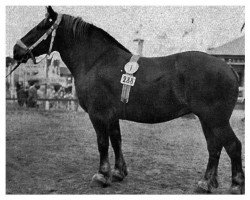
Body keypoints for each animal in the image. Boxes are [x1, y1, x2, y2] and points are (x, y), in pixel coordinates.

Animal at [13, 6, 244, 194]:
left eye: (40, 26)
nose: (16, 50)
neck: (96, 61)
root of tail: (230, 69)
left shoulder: (98, 115)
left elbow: (102, 143)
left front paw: (101, 175)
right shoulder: (112, 115)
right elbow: (116, 140)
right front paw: (118, 172)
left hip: (216, 120)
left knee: (233, 145)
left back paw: (235, 184)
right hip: (207, 120)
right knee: (214, 147)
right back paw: (206, 183)